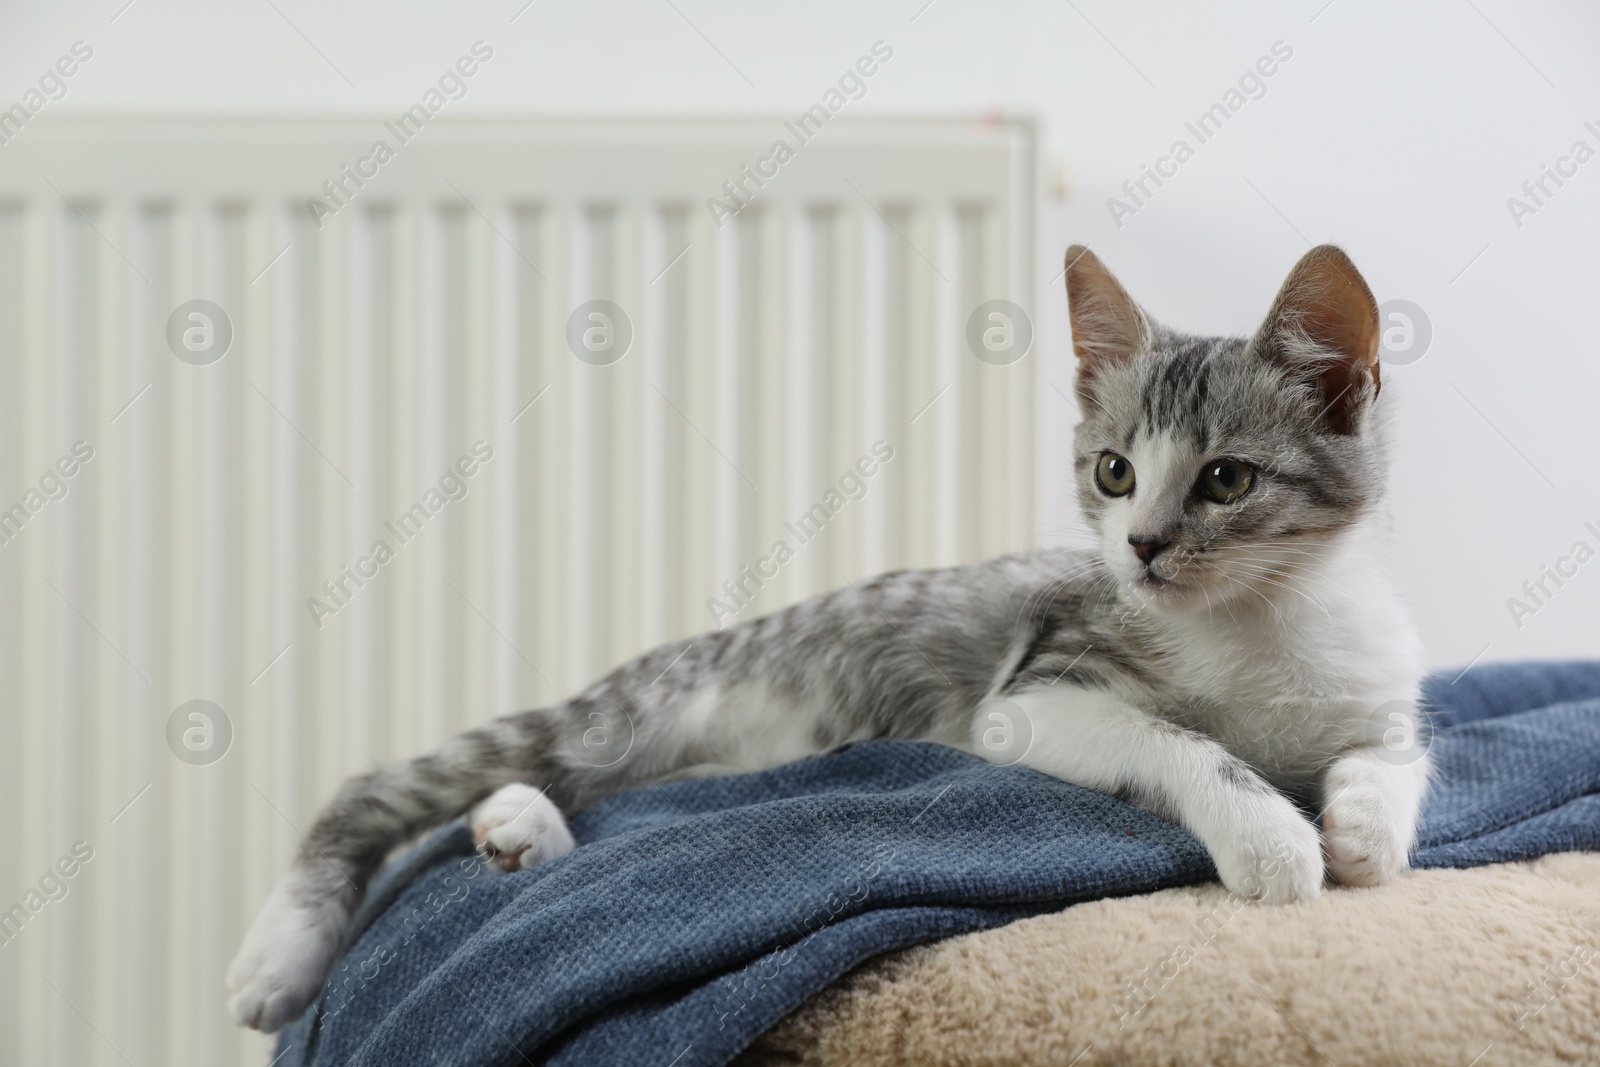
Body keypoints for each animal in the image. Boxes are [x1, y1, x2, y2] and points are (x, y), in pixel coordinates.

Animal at [225, 244, 1427, 1036]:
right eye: (1114, 469)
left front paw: (1366, 826)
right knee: (391, 787)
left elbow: (1395, 754)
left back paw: (520, 832)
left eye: (1225, 479)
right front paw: (1271, 835)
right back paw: (281, 952)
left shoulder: (1381, 687)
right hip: (635, 708)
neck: (1257, 623)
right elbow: (1181, 742)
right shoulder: (1031, 692)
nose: (1137, 547)